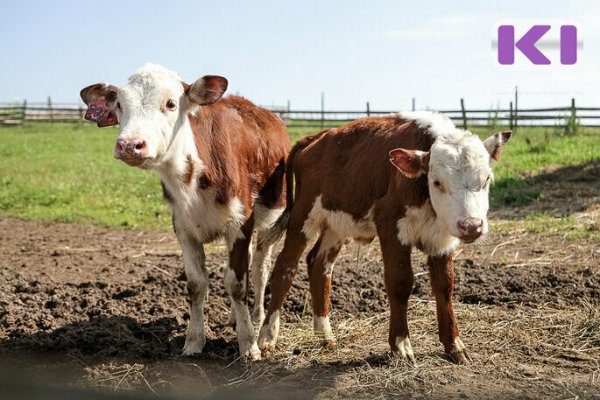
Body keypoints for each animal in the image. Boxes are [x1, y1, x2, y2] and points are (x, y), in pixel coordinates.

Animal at [79, 63, 290, 360]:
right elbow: (196, 284)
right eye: (119, 104)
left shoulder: (240, 223)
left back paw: (262, 324)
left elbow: (237, 284)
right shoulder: (183, 227)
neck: (191, 180)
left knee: (261, 269)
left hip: (273, 221)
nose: (130, 144)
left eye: (170, 103)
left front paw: (248, 344)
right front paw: (194, 340)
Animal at [258, 111, 510, 362]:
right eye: (437, 182)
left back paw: (325, 335)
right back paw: (267, 337)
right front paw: (400, 345)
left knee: (319, 265)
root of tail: (314, 138)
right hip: (303, 216)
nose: (471, 226)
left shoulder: (443, 237)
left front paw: (454, 345)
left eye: (486, 179)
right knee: (285, 268)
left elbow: (444, 285)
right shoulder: (390, 225)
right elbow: (400, 281)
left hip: (336, 223)